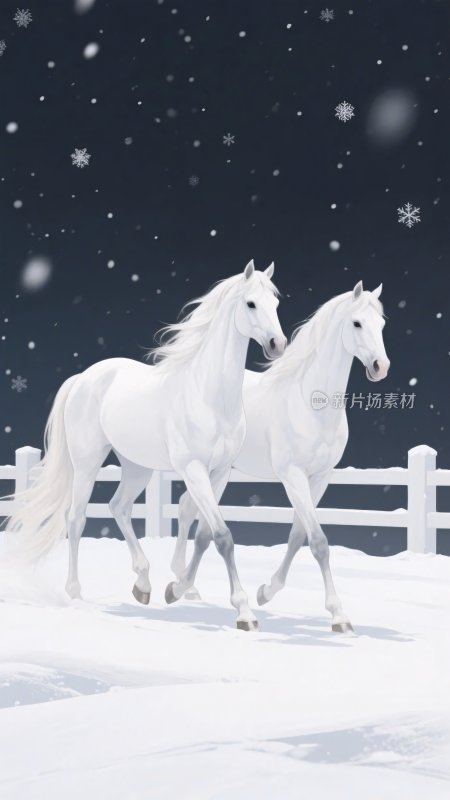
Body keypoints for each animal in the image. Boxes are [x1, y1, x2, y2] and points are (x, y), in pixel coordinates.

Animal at [5, 261, 286, 631]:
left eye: (276, 302)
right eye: (251, 304)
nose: (277, 344)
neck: (209, 395)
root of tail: (82, 378)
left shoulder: (221, 472)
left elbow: (207, 533)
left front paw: (179, 589)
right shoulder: (193, 470)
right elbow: (223, 536)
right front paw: (244, 613)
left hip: (138, 468)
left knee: (119, 507)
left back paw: (142, 584)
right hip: (87, 463)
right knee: (76, 518)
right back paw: (75, 592)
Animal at [170, 281, 390, 632]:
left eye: (381, 325)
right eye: (357, 323)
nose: (380, 367)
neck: (309, 402)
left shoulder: (320, 478)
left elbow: (298, 536)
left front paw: (266, 592)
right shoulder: (293, 476)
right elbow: (319, 542)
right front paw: (339, 616)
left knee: (191, 513)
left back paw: (183, 584)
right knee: (188, 512)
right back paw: (180, 582)